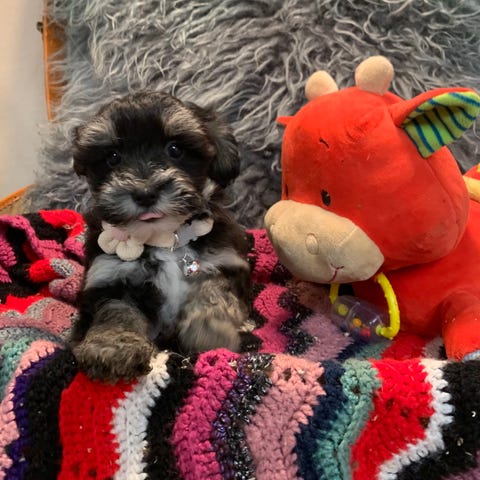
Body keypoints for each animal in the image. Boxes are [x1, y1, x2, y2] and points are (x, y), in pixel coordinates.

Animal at [70, 91, 252, 382]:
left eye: (175, 150)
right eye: (113, 157)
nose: (145, 193)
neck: (167, 239)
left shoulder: (225, 261)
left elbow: (214, 291)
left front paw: (209, 329)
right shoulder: (110, 276)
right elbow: (117, 311)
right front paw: (112, 348)